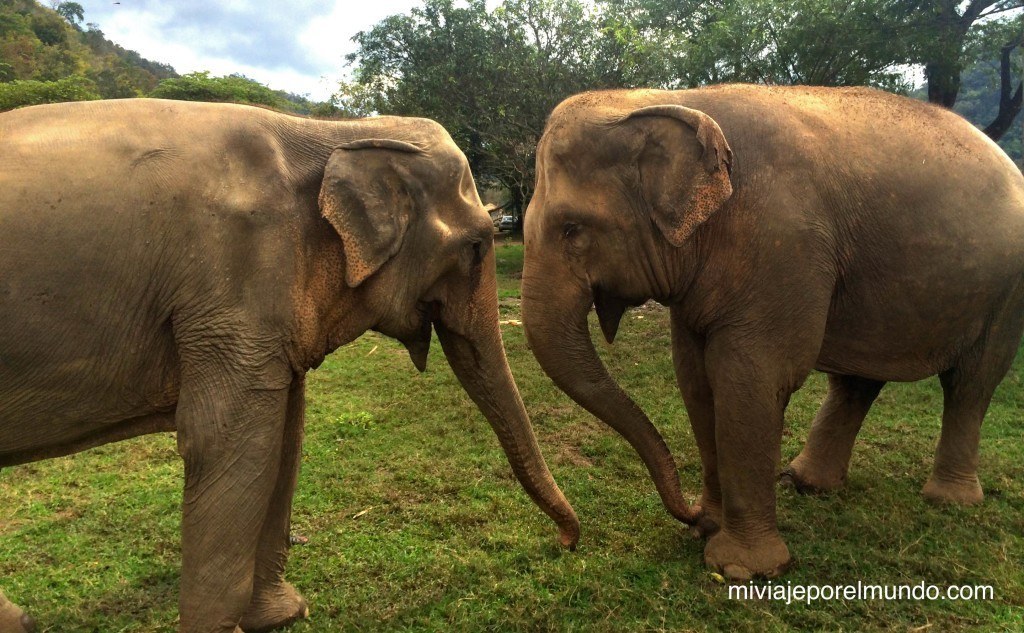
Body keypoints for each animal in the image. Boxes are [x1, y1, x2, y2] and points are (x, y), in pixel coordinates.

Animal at [0, 98, 577, 630]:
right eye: (478, 245)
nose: (568, 541)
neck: (337, 132)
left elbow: (284, 436)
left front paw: (283, 615)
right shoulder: (234, 284)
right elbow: (226, 440)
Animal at [520, 86, 1024, 577]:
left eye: (572, 228)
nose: (567, 541)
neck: (664, 98)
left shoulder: (783, 245)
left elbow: (750, 376)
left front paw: (742, 569)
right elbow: (695, 377)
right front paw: (709, 529)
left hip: (1006, 290)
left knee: (971, 383)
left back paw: (949, 500)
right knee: (857, 382)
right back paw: (805, 483)